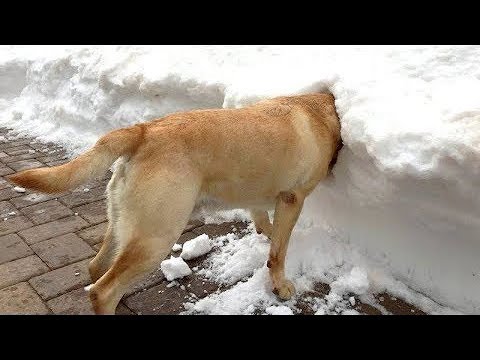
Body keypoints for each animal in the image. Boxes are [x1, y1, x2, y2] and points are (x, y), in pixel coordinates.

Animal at [7, 93, 342, 316]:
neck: (320, 109)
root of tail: (143, 131)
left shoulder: (259, 197)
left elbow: (263, 222)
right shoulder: (292, 199)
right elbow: (278, 252)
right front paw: (280, 285)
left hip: (123, 223)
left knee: (96, 268)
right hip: (156, 237)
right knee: (103, 291)